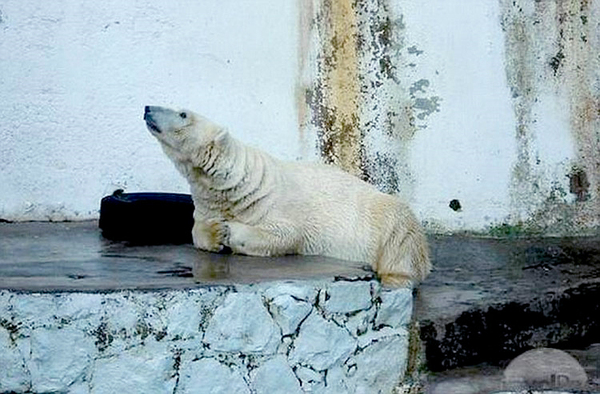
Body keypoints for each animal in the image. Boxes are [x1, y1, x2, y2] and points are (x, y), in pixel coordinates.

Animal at [143, 105, 428, 286]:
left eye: (183, 113)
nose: (147, 108)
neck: (236, 185)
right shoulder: (208, 201)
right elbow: (196, 229)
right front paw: (215, 233)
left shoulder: (276, 203)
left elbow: (287, 234)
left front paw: (229, 232)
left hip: (384, 218)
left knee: (401, 244)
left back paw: (394, 278)